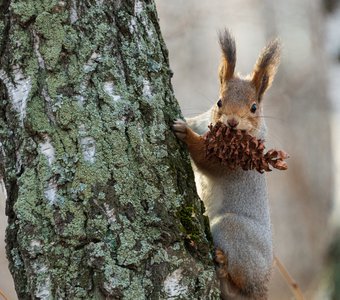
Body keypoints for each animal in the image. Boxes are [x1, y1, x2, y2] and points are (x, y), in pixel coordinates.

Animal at [174, 28, 280, 300]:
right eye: (219, 101)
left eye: (254, 107)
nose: (232, 122)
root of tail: (261, 289)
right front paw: (186, 122)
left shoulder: (228, 162)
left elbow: (204, 157)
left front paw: (185, 133)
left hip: (231, 229)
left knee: (238, 283)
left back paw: (223, 266)